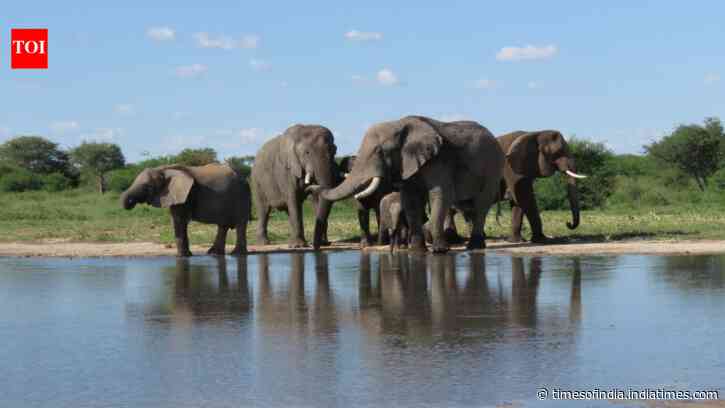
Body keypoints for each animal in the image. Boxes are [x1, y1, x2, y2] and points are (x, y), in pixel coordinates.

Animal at [120, 163, 251, 257]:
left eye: (147, 187)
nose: (130, 204)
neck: (163, 169)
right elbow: (179, 221)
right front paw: (186, 255)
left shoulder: (184, 194)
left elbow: (179, 221)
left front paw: (182, 257)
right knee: (223, 226)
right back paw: (214, 254)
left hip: (241, 195)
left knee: (240, 224)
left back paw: (236, 254)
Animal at [308, 115, 504, 253]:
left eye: (379, 151)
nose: (310, 185)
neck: (400, 124)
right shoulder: (407, 164)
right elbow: (410, 200)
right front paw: (416, 251)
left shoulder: (439, 160)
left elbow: (440, 194)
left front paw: (440, 251)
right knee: (468, 206)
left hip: (493, 167)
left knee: (481, 203)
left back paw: (474, 247)